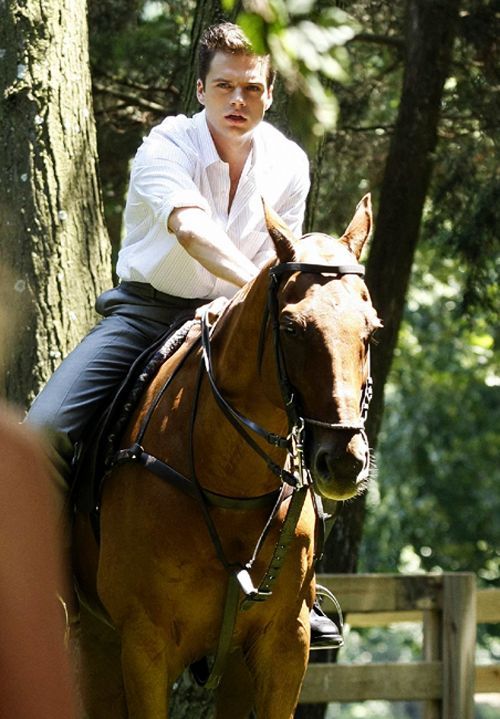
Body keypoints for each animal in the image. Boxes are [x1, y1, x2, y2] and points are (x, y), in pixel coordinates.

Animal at [73, 194, 381, 719]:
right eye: (291, 327)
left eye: (371, 331)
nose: (343, 461)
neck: (231, 484)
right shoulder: (144, 647)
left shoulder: (284, 646)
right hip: (96, 642)